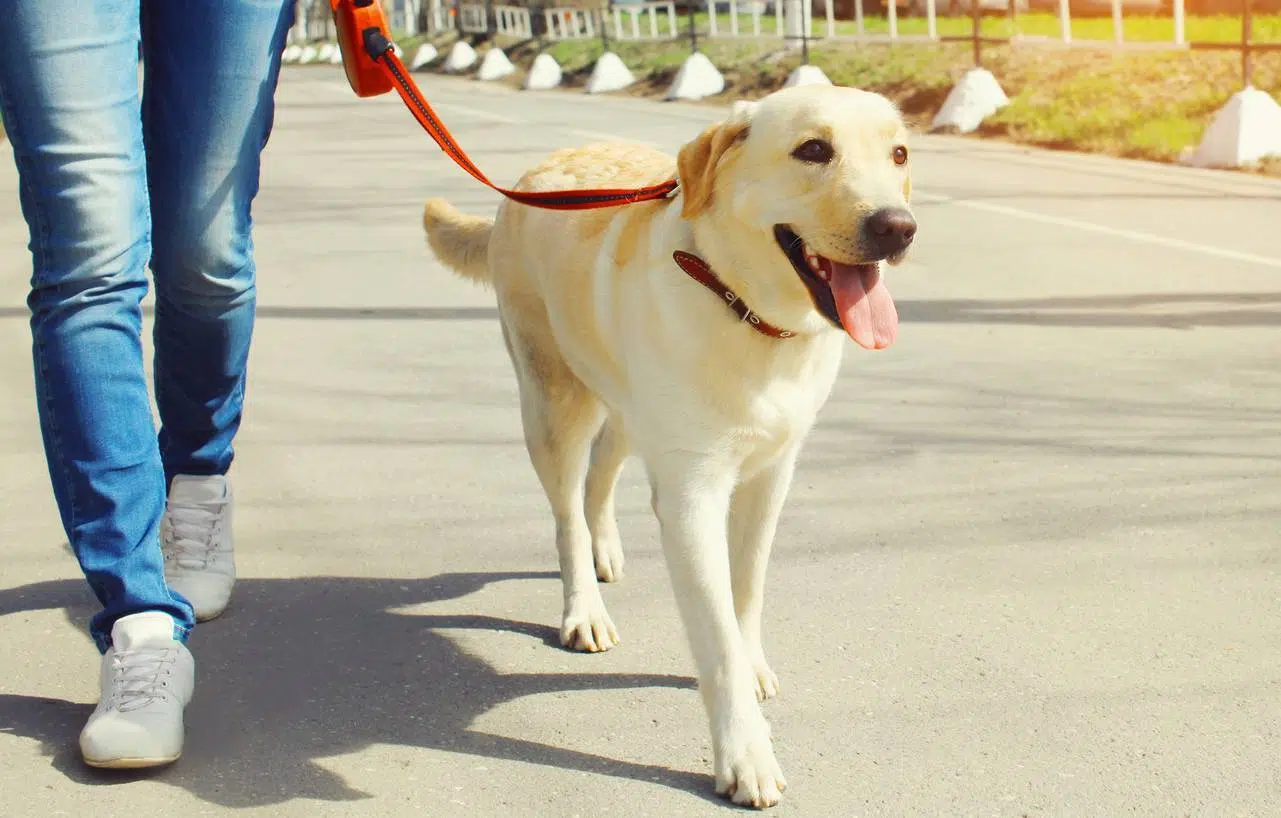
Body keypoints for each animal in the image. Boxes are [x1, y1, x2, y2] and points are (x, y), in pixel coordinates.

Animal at [425, 83, 917, 809]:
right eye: (813, 150)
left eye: (899, 154)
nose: (897, 227)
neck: (747, 312)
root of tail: (532, 177)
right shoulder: (692, 496)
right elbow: (715, 636)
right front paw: (745, 754)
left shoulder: (771, 476)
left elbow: (746, 592)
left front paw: (752, 661)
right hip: (553, 402)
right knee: (567, 511)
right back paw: (584, 606)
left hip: (627, 404)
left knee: (601, 473)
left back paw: (604, 550)